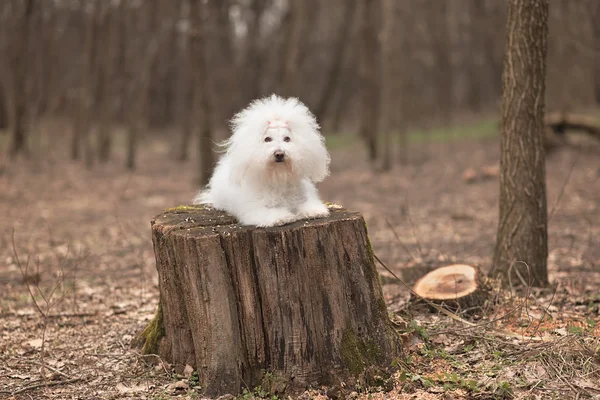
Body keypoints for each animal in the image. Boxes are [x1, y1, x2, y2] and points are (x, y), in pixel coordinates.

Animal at [195, 92, 330, 227]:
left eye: (287, 139)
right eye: (267, 139)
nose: (279, 154)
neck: (277, 177)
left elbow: (307, 204)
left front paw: (315, 211)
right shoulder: (254, 209)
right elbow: (268, 213)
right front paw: (281, 217)